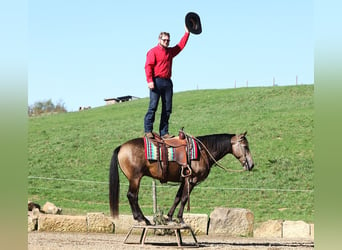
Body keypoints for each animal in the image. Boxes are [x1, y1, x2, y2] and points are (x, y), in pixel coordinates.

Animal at [109, 131, 254, 225]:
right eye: (245, 146)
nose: (251, 164)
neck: (202, 152)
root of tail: (121, 147)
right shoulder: (191, 180)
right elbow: (184, 199)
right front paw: (181, 219)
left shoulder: (183, 180)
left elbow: (177, 197)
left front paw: (169, 217)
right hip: (135, 178)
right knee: (132, 196)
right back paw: (142, 219)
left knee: (132, 197)